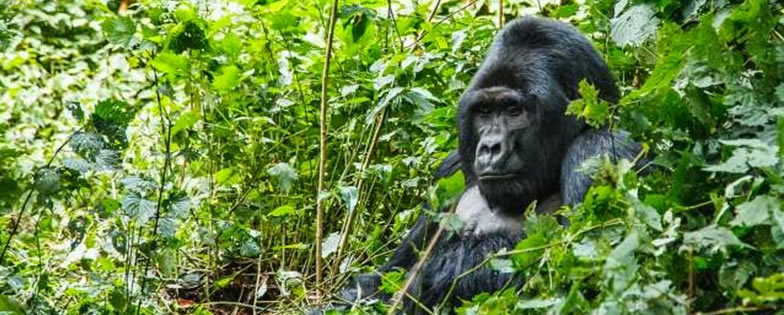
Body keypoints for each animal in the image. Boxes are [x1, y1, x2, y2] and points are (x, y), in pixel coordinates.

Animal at [332, 16, 644, 314]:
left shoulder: (599, 151)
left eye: (514, 110)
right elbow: (382, 278)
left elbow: (579, 276)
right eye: (484, 111)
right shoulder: (452, 169)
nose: (490, 148)